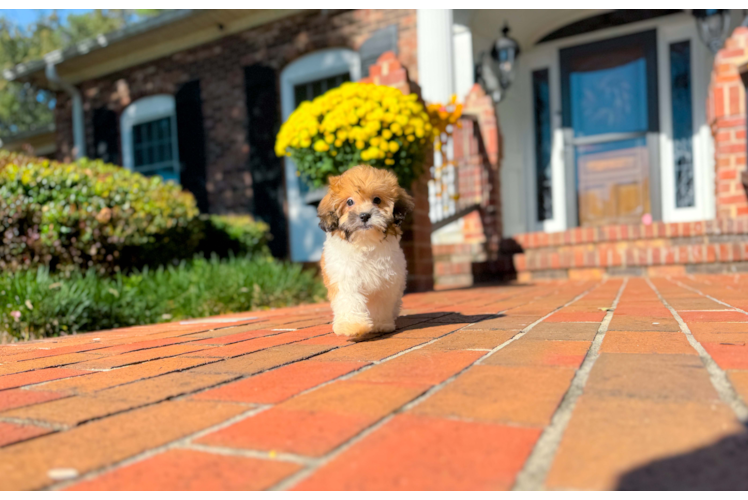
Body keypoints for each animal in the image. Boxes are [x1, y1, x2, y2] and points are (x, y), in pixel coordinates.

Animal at [318, 164, 414, 340]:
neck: (365, 242)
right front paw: (352, 325)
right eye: (350, 201)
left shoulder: (385, 279)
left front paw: (380, 324)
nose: (364, 216)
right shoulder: (344, 276)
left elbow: (380, 302)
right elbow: (349, 299)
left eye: (377, 200)